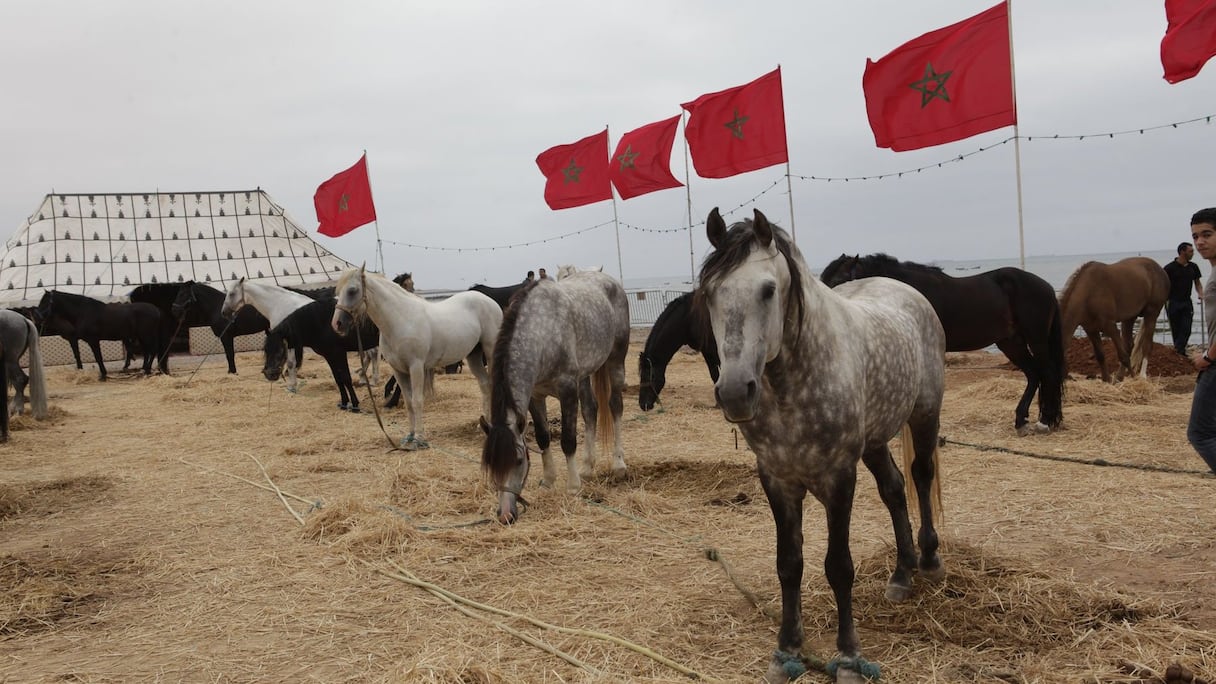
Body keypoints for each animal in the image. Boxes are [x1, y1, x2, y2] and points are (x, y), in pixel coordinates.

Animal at [330, 265, 500, 447]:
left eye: (352, 290)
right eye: (338, 292)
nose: (337, 324)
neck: (401, 320)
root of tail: (489, 301)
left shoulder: (416, 367)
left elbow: (417, 401)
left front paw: (419, 438)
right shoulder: (398, 370)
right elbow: (408, 402)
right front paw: (410, 436)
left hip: (490, 351)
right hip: (473, 355)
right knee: (485, 384)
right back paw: (482, 425)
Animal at [479, 270, 632, 520]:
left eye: (519, 461)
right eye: (490, 465)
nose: (505, 515)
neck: (541, 333)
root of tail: (606, 278)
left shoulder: (567, 388)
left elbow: (568, 440)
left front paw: (572, 487)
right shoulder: (535, 396)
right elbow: (543, 437)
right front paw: (548, 480)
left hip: (615, 361)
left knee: (615, 407)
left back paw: (618, 464)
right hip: (585, 375)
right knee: (591, 411)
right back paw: (587, 468)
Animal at [700, 208, 943, 681]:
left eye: (768, 290)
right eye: (709, 294)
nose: (736, 392)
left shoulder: (838, 478)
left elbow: (839, 566)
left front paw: (848, 658)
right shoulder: (777, 479)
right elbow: (788, 564)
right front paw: (787, 651)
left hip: (924, 415)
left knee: (921, 477)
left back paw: (928, 559)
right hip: (874, 440)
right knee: (894, 489)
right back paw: (901, 574)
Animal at [817, 253, 1065, 433]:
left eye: (837, 281)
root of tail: (1046, 287)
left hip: (1036, 339)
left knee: (1048, 373)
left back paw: (1045, 421)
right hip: (1011, 343)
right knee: (1034, 374)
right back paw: (1022, 419)